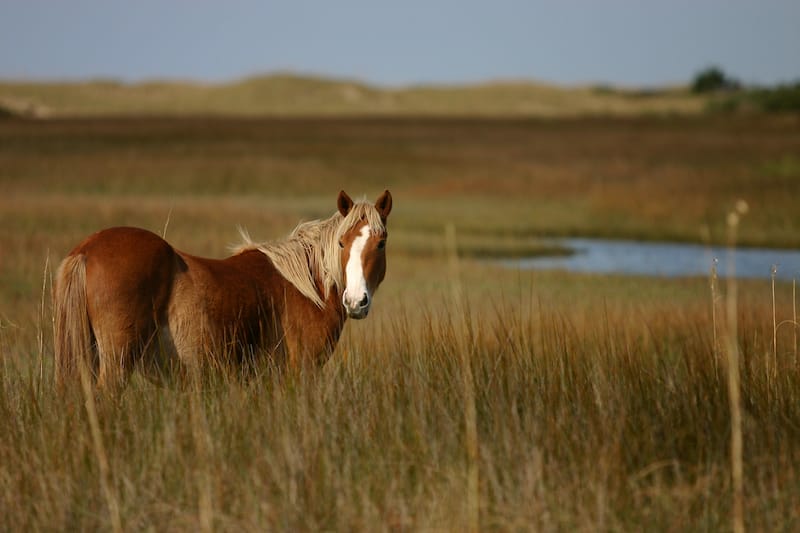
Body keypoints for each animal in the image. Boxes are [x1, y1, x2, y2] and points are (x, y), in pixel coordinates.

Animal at [52, 189, 390, 388]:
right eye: (342, 243)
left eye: (380, 243)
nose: (355, 302)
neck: (307, 288)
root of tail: (86, 250)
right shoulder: (301, 372)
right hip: (116, 363)